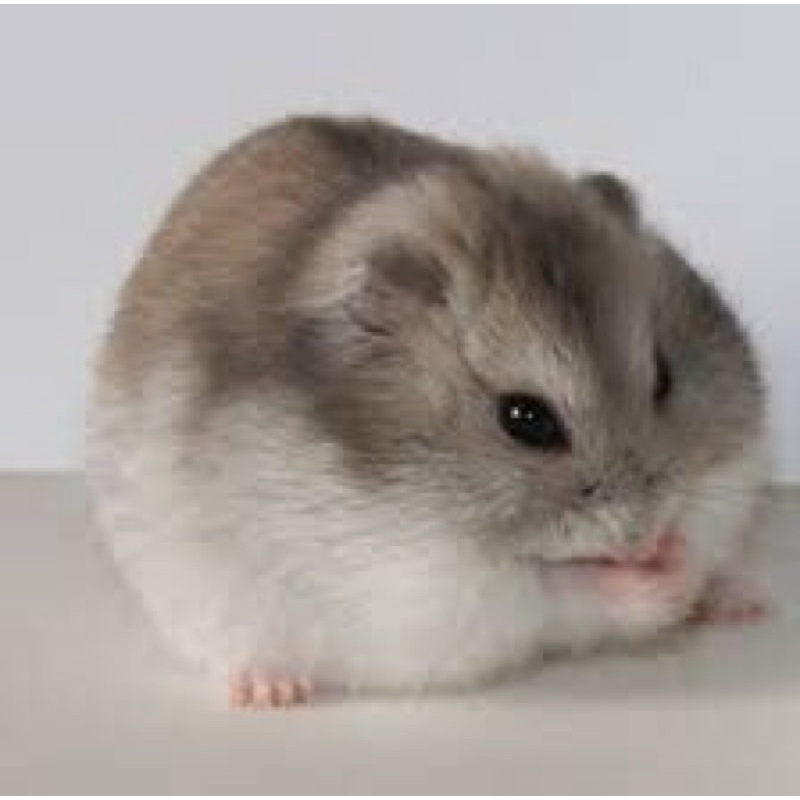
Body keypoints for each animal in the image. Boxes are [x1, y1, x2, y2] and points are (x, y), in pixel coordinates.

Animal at [87, 116, 767, 708]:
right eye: (526, 419)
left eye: (664, 377)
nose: (645, 535)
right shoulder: (435, 586)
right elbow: (555, 591)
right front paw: (661, 574)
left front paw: (685, 561)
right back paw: (271, 691)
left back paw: (744, 601)